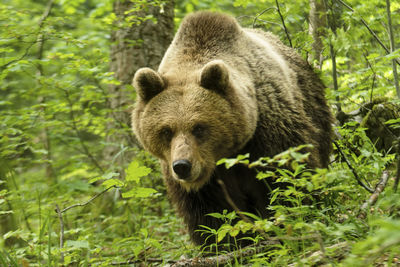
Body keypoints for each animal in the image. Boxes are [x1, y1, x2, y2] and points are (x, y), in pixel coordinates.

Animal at [131, 11, 332, 250]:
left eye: (199, 127)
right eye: (166, 130)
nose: (182, 166)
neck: (227, 153)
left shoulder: (269, 130)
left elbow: (286, 177)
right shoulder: (201, 179)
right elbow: (210, 212)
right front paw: (224, 243)